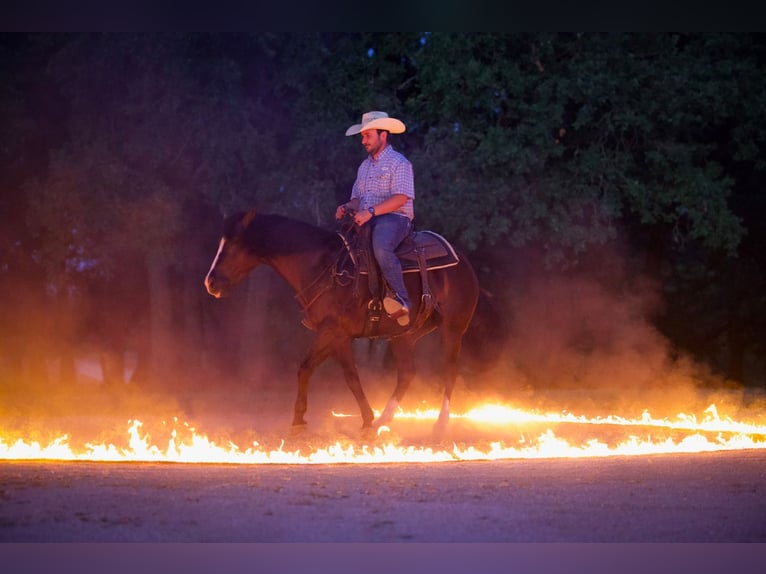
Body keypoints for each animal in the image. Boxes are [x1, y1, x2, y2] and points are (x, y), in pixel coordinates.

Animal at [204, 210, 480, 432]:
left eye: (233, 245)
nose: (210, 283)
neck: (324, 265)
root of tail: (462, 261)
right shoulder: (335, 335)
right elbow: (314, 369)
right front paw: (300, 420)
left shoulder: (334, 332)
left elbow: (344, 376)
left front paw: (365, 419)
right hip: (403, 336)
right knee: (407, 374)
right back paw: (384, 420)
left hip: (453, 329)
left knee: (449, 370)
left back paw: (440, 424)